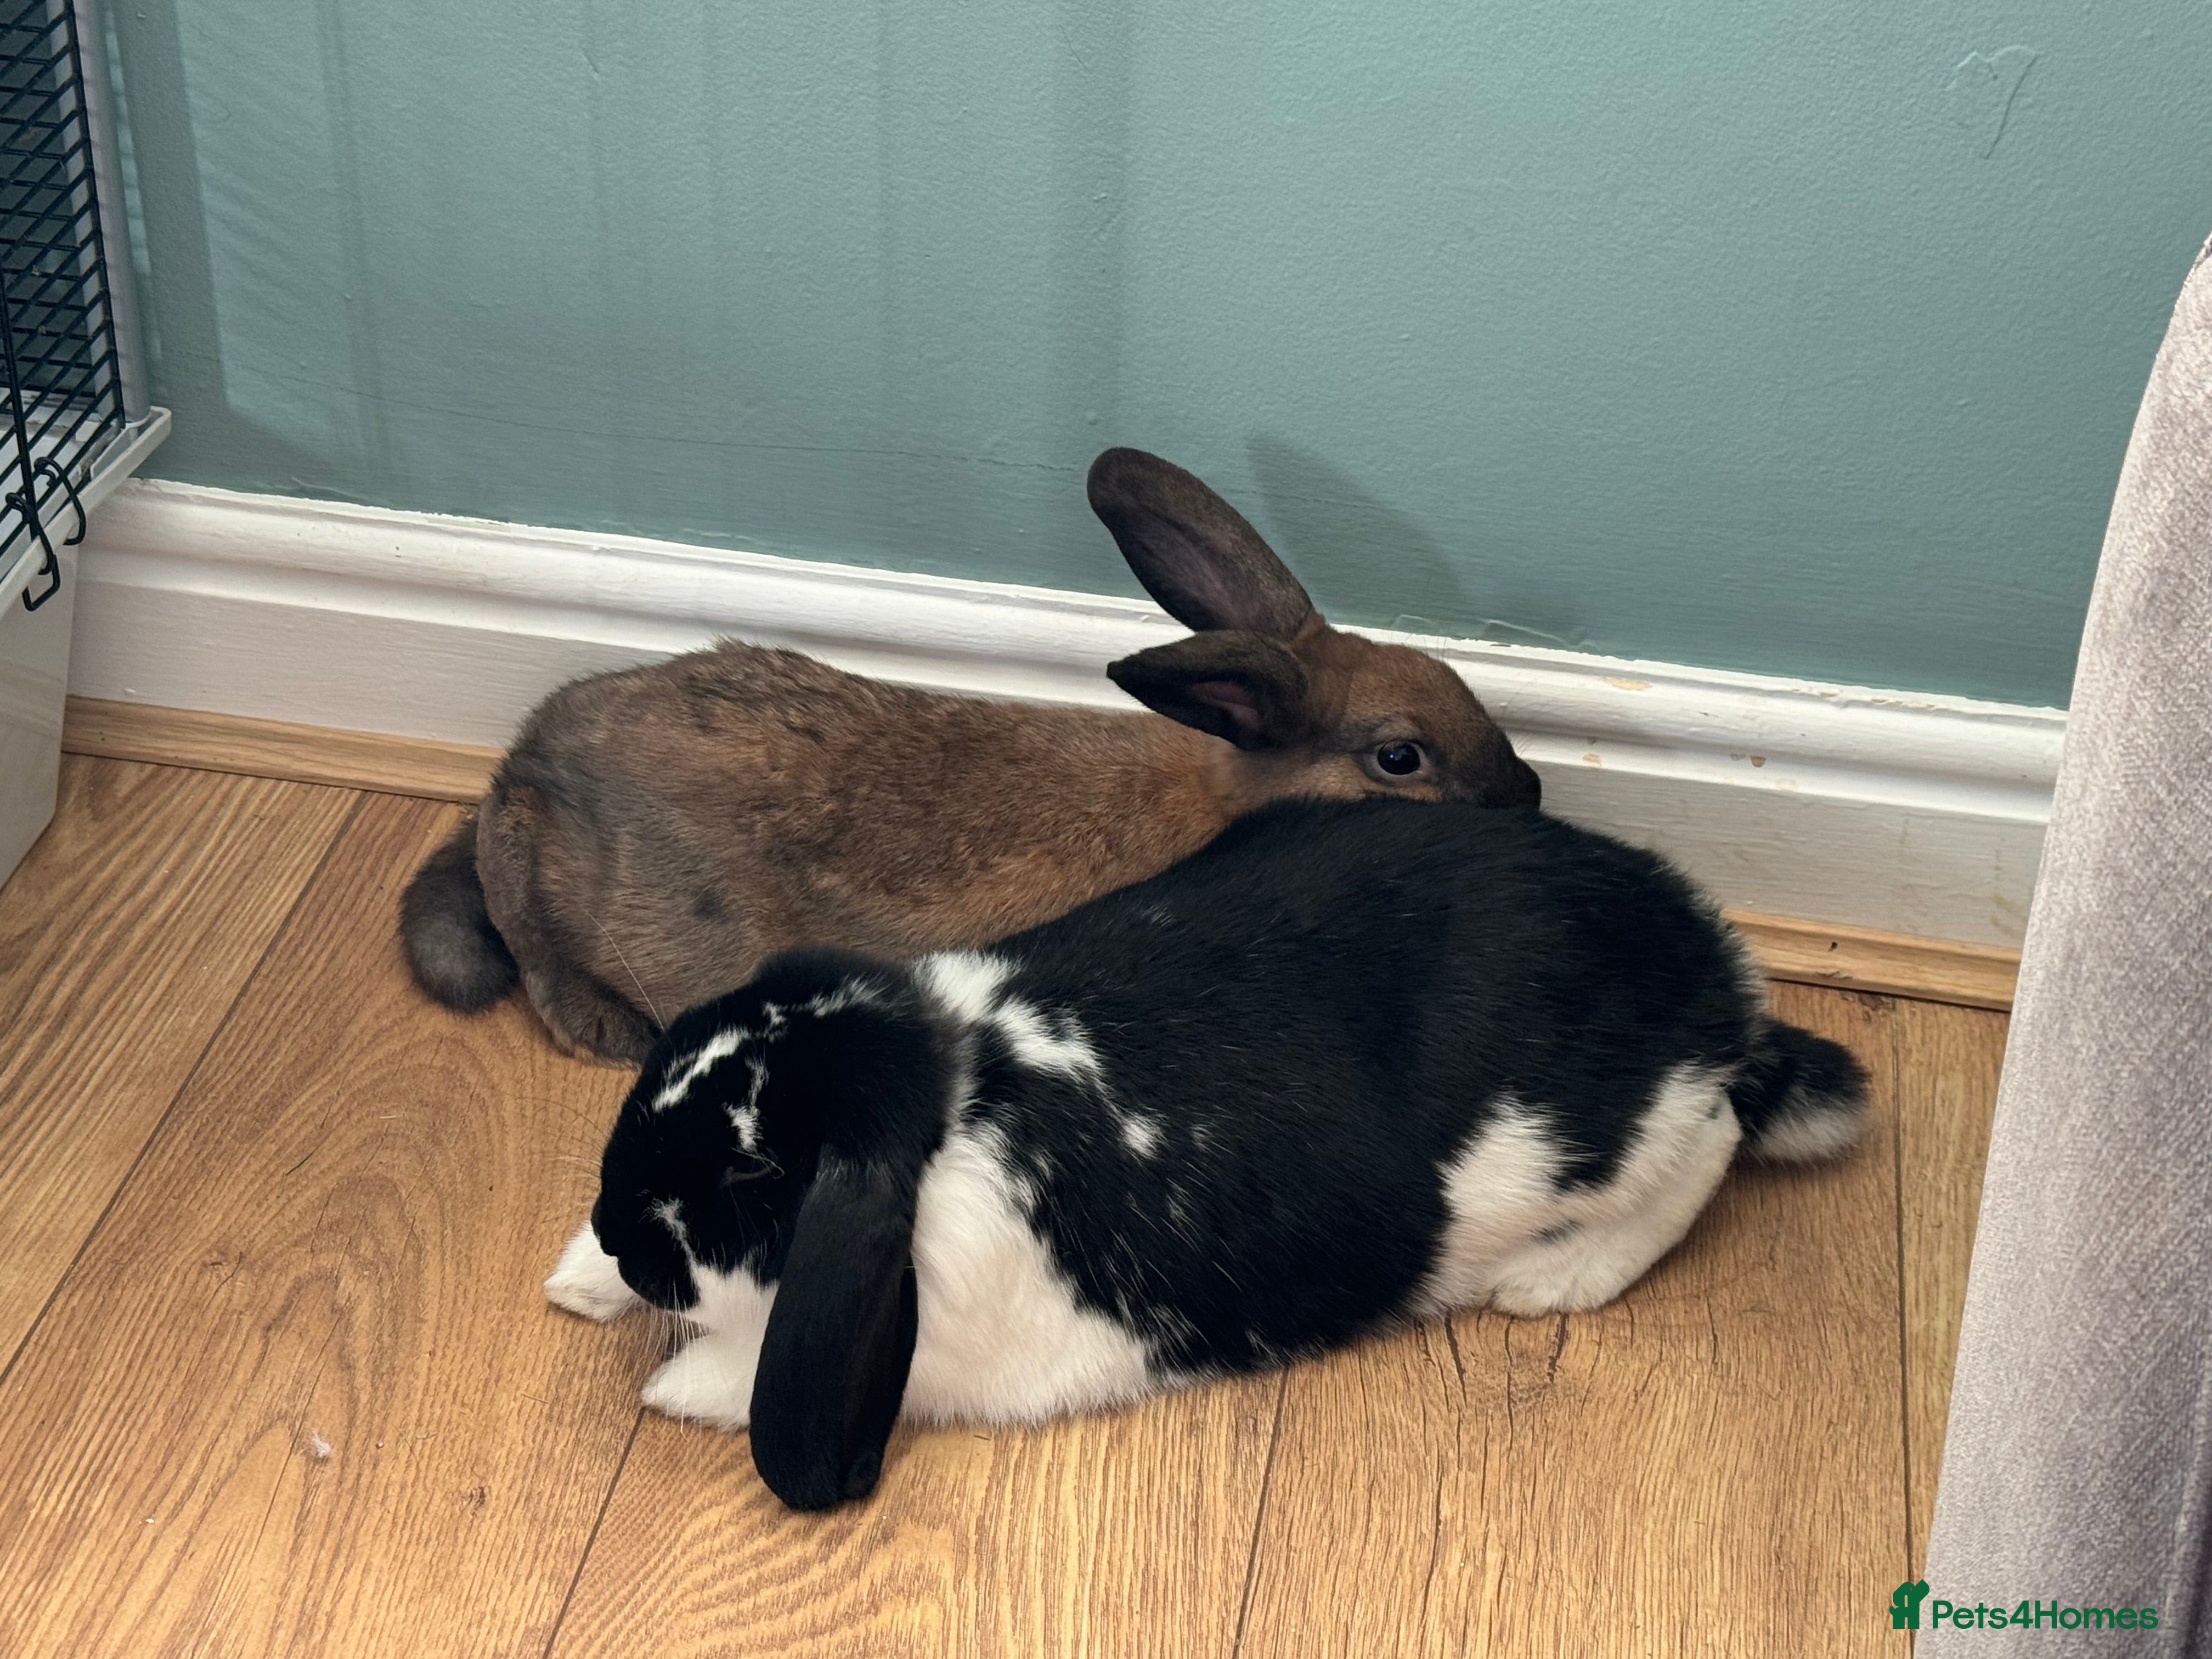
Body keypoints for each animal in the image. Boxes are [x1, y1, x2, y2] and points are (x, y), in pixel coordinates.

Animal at [544, 794, 1869, 1512]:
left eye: (751, 1175)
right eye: (664, 1059)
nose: (615, 1228)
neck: (947, 1096)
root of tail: (1715, 979)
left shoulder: (949, 1347)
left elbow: (769, 1360)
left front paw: (680, 1382)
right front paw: (577, 1280)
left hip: (1591, 1143)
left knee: (1708, 1140)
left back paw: (1554, 1277)